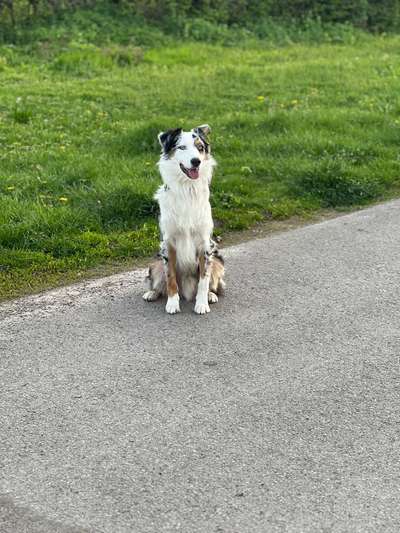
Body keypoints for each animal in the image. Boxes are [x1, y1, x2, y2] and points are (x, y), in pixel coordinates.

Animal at [143, 123, 225, 316]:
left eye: (200, 148)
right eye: (181, 147)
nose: (196, 161)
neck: (187, 190)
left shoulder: (205, 244)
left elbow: (204, 279)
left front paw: (201, 304)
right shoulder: (168, 243)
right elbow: (170, 277)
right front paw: (172, 304)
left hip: (217, 260)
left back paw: (211, 295)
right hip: (155, 262)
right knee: (159, 282)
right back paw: (152, 293)